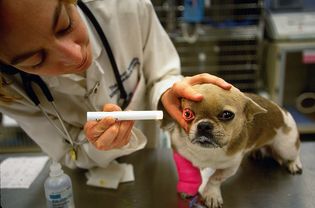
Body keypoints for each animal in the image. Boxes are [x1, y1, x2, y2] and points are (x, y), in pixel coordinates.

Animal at [164, 83, 302, 208]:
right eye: (187, 114)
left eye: (227, 114)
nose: (204, 125)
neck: (208, 150)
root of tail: (282, 110)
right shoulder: (182, 155)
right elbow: (189, 174)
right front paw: (188, 188)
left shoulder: (229, 168)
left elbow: (215, 178)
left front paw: (212, 194)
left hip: (286, 148)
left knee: (294, 154)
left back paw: (294, 164)